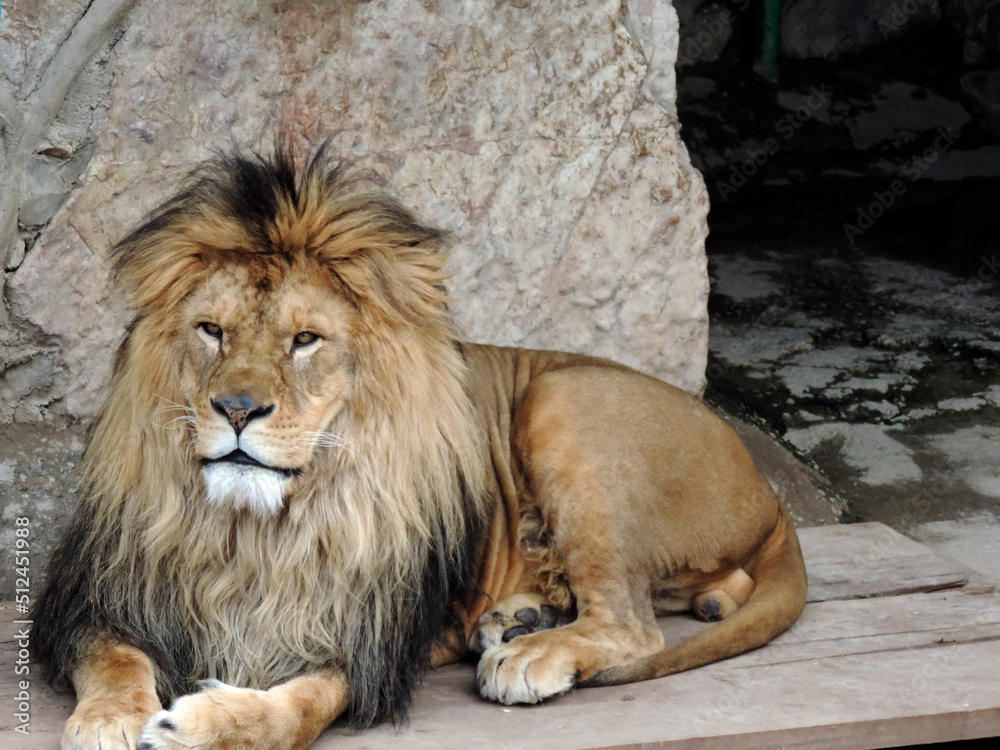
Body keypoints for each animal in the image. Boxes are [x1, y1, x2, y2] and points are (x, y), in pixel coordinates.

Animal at [31, 145, 807, 750]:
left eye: (305, 339)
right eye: (212, 331)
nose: (238, 409)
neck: (259, 532)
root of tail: (769, 492)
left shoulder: (370, 639)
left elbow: (299, 707)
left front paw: (203, 725)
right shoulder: (94, 598)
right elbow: (114, 659)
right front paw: (109, 719)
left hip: (563, 400)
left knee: (634, 627)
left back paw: (528, 654)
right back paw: (519, 621)